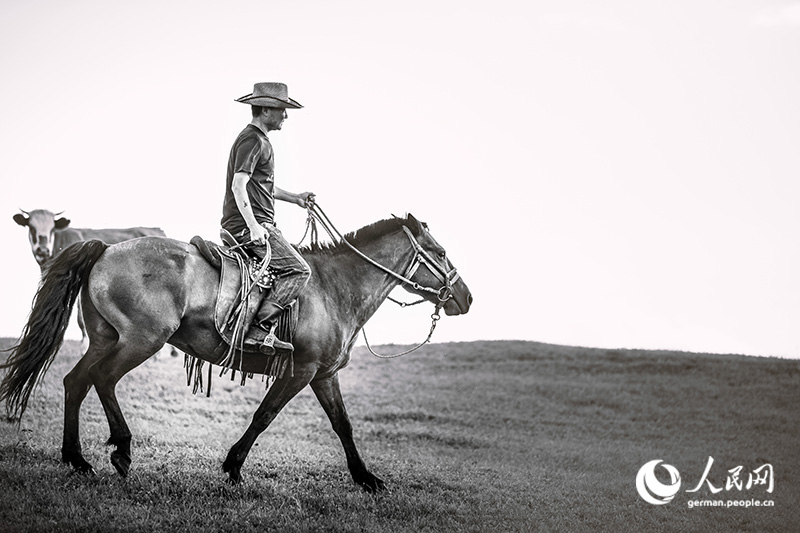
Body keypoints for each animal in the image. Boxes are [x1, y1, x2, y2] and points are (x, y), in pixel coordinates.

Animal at [0, 213, 472, 490]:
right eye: (441, 252)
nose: (465, 297)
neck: (333, 288)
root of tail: (106, 247)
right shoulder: (299, 371)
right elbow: (264, 416)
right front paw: (233, 466)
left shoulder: (324, 374)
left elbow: (343, 425)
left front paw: (365, 477)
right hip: (140, 340)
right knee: (102, 380)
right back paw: (121, 449)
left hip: (104, 338)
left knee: (75, 381)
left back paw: (76, 459)